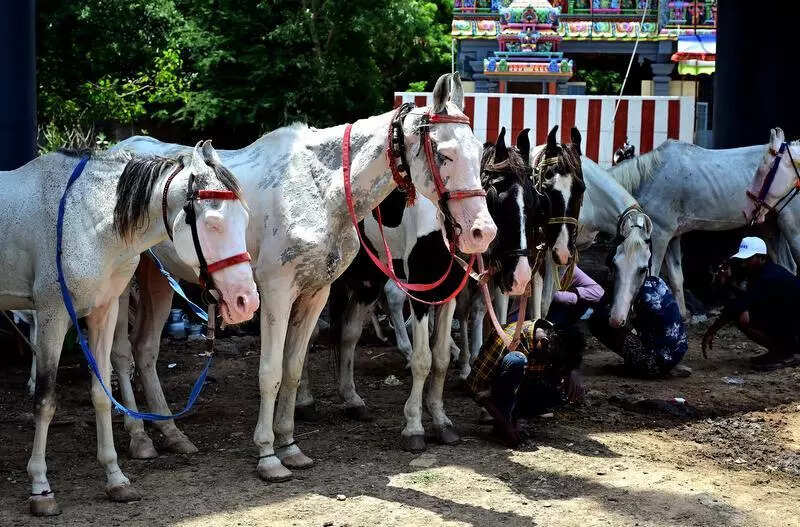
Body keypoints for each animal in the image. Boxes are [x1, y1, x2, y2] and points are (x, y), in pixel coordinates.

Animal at [2, 142, 258, 516]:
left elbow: (100, 394)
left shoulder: (104, 310)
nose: (246, 301)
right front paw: (41, 488)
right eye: (213, 223)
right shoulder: (53, 313)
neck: (84, 219)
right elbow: (46, 401)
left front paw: (115, 478)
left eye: (245, 219)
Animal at [108, 73, 497, 481]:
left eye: (479, 153)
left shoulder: (315, 293)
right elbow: (270, 372)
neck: (319, 190)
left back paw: (172, 433)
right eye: (445, 153)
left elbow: (292, 369)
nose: (482, 232)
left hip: (158, 279)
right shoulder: (276, 294)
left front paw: (290, 446)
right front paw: (267, 455)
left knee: (145, 350)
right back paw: (139, 438)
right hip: (118, 288)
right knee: (120, 354)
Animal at [306, 127, 541, 439]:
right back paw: (303, 401)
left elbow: (440, 359)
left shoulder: (448, 294)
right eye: (498, 199)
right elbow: (422, 359)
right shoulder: (421, 293)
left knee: (349, 334)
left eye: (534, 202)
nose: (521, 276)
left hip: (370, 279)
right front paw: (414, 424)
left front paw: (440, 419)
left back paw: (352, 399)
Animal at [607, 139, 799, 324]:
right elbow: (676, 276)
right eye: (614, 265)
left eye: (639, 270)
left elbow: (653, 274)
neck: (651, 179)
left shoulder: (659, 235)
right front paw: (682, 315)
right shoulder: (672, 236)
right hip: (770, 228)